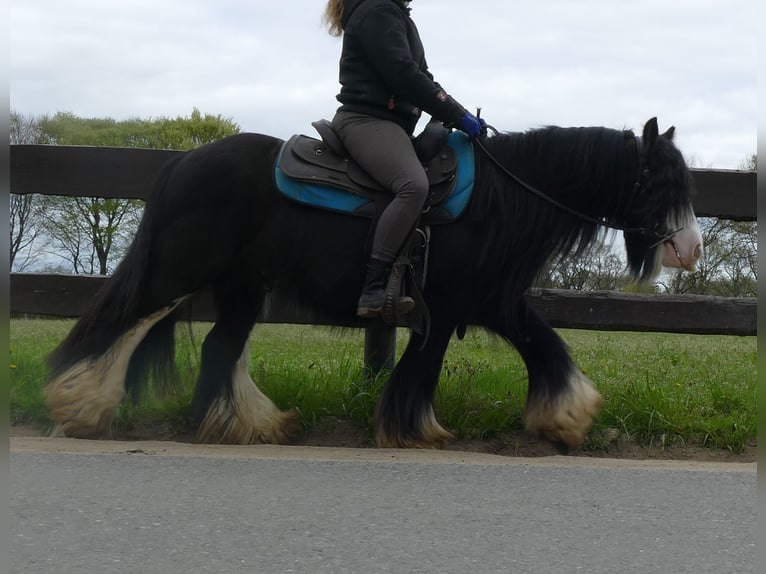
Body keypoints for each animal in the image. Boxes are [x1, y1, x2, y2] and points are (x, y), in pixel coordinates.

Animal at [46, 117, 708, 450]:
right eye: (659, 182)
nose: (690, 249)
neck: (502, 196)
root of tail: (182, 161)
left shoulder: (493, 300)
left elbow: (544, 344)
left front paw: (567, 419)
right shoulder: (452, 305)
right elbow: (428, 365)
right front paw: (412, 427)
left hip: (241, 286)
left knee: (217, 348)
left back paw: (249, 424)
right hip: (176, 271)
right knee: (119, 320)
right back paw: (76, 405)